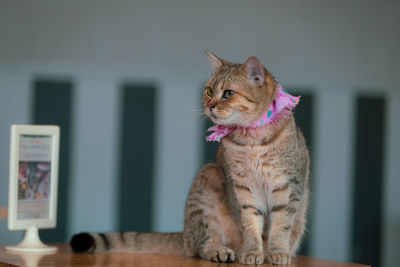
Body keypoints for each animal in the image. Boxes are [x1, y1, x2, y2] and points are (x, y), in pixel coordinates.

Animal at [71, 51, 310, 266]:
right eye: (210, 91)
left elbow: (280, 226)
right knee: (202, 245)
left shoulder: (288, 187)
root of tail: (184, 234)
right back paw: (221, 251)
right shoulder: (242, 190)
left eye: (228, 93)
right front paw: (252, 252)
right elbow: (251, 225)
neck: (252, 139)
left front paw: (277, 252)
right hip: (207, 179)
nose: (209, 106)